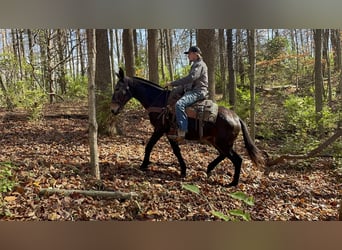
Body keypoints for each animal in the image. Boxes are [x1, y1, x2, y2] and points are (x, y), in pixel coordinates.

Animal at [111, 68, 264, 186]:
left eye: (118, 88)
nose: (113, 110)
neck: (160, 101)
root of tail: (236, 117)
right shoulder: (170, 133)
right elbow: (176, 151)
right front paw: (183, 170)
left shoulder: (160, 129)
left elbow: (150, 146)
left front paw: (143, 165)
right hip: (217, 142)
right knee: (224, 155)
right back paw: (209, 168)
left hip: (223, 143)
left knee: (237, 159)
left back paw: (233, 183)